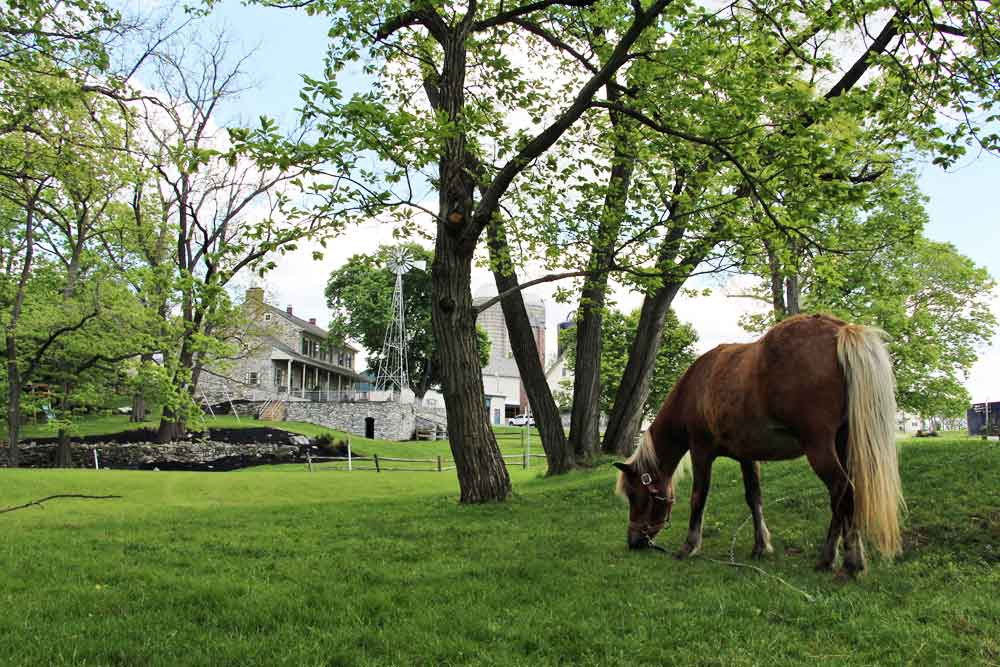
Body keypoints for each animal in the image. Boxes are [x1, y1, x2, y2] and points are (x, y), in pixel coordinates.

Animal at [616, 314, 908, 576]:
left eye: (634, 495)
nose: (634, 541)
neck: (696, 387)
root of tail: (840, 330)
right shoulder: (747, 456)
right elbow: (753, 497)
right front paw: (761, 545)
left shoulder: (701, 452)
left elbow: (698, 497)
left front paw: (689, 546)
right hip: (843, 443)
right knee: (844, 498)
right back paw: (833, 558)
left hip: (820, 448)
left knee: (842, 492)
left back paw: (847, 561)